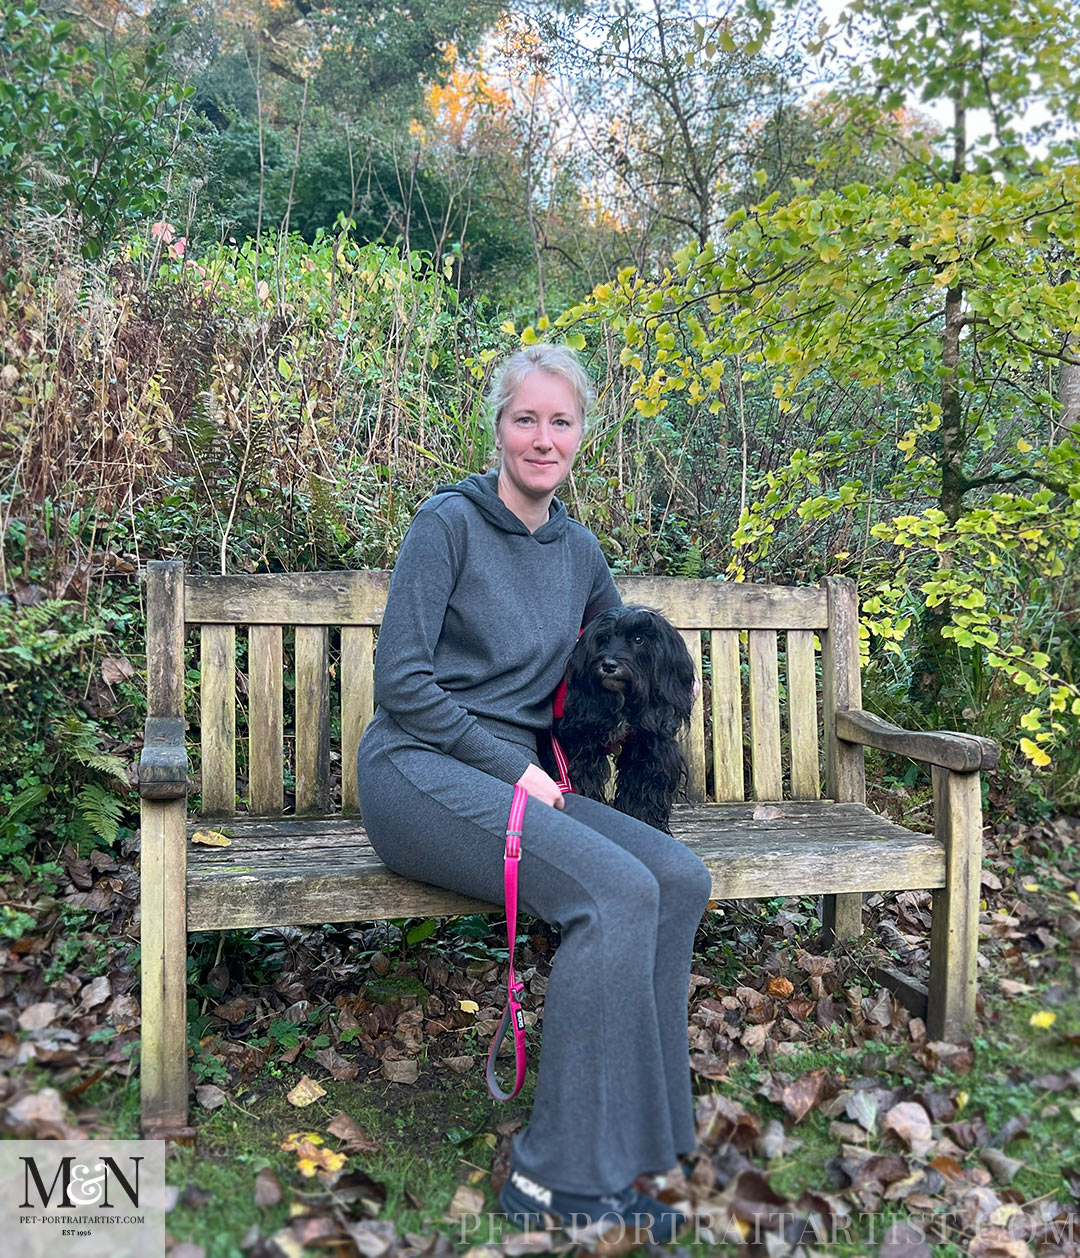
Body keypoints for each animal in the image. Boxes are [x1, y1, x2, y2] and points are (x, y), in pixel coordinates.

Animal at [545, 603, 699, 830]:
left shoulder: (647, 750)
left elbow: (644, 794)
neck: (623, 700)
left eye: (638, 639)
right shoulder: (576, 746)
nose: (608, 665)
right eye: (603, 638)